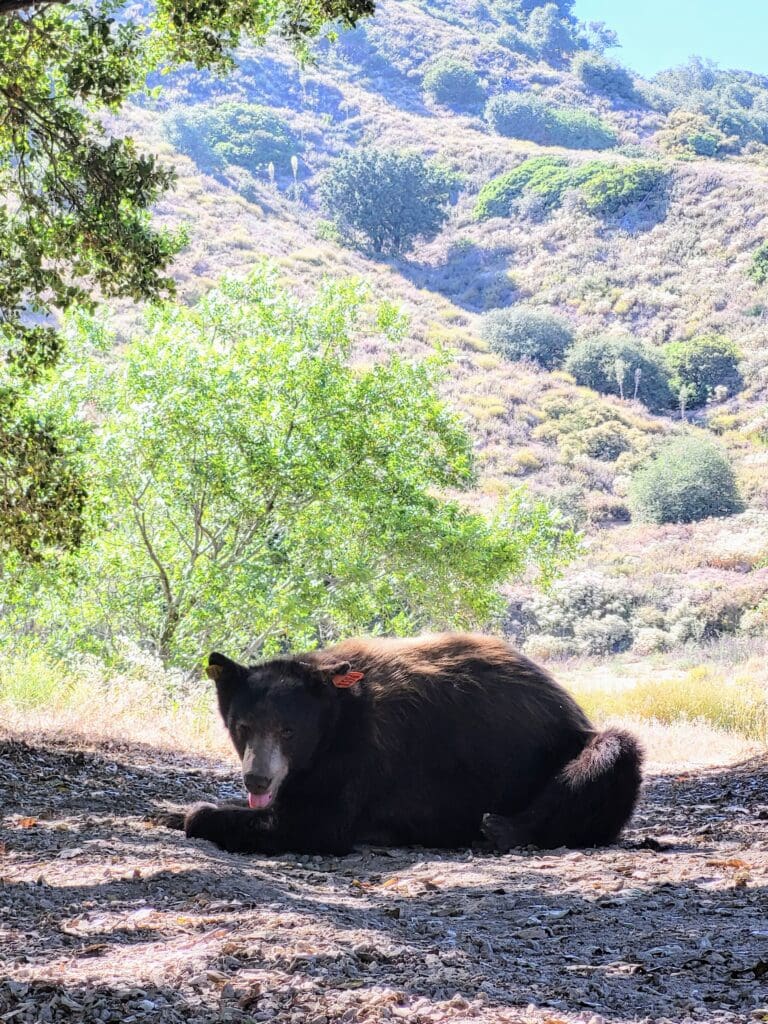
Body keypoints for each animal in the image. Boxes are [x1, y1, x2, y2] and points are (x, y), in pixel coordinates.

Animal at [159, 633, 642, 855]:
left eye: (288, 730)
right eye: (242, 726)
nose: (257, 780)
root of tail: (572, 706)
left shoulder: (363, 754)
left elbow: (313, 823)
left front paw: (202, 814)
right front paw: (169, 808)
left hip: (566, 750)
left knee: (612, 753)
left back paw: (504, 827)